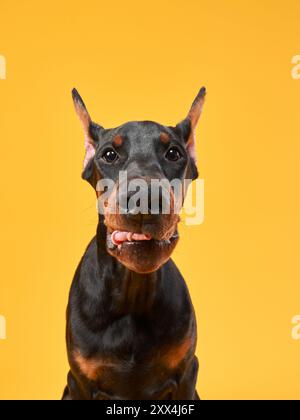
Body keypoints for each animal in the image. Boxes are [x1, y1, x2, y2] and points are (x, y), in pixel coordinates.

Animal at [63, 86, 206, 400]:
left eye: (173, 153)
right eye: (109, 154)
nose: (145, 198)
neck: (132, 291)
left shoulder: (187, 373)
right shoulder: (80, 382)